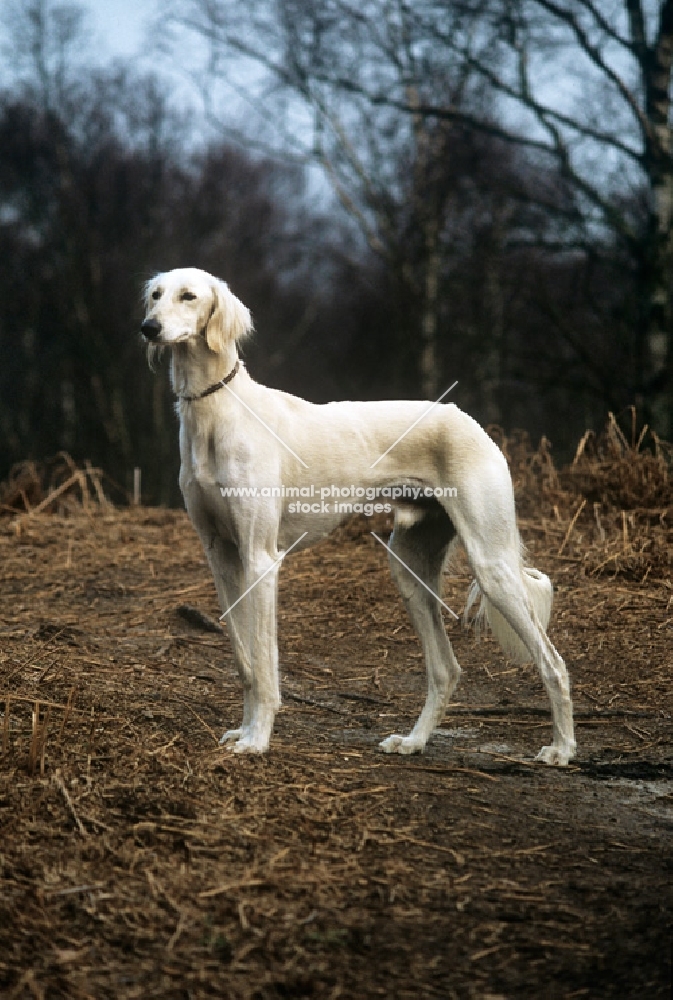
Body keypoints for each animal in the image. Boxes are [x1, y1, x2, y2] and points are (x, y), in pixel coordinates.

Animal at [139, 266, 576, 764]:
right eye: (155, 295)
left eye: (189, 296)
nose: (148, 328)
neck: (217, 410)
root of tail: (469, 420)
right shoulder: (220, 556)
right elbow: (245, 660)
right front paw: (244, 730)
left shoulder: (260, 558)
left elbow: (265, 665)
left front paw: (258, 738)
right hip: (409, 565)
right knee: (446, 669)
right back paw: (413, 741)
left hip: (492, 565)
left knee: (552, 662)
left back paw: (561, 748)